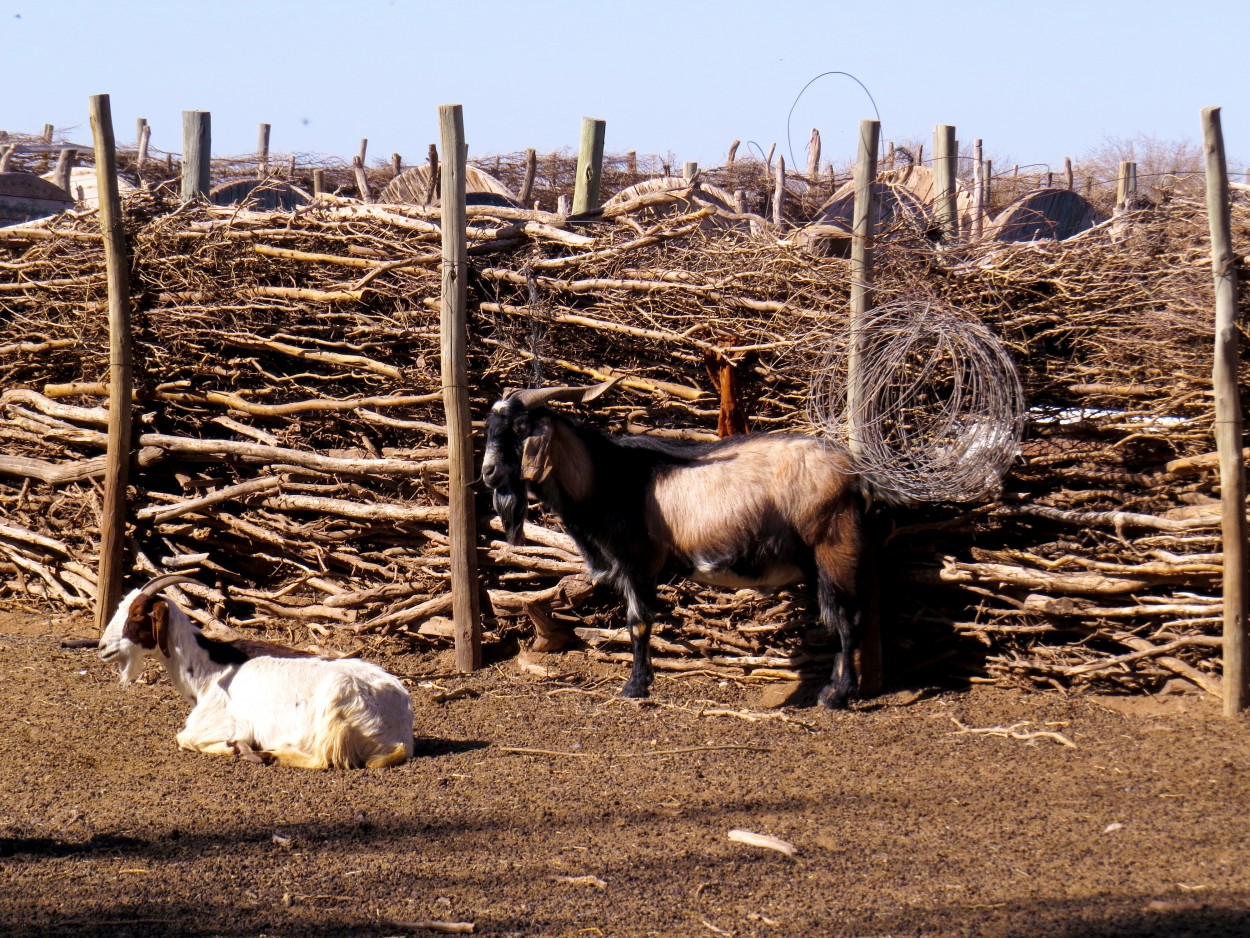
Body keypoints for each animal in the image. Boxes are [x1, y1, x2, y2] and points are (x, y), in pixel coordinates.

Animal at [98, 572, 410, 770]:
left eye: (138, 615)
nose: (102, 647)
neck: (210, 668)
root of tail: (402, 733)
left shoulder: (221, 722)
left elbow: (184, 738)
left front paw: (235, 747)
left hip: (336, 704)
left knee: (324, 760)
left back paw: (269, 755)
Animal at [480, 377, 870, 710]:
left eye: (520, 428)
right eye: (489, 428)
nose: (488, 472)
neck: (604, 478)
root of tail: (853, 472)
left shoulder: (638, 561)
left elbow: (637, 621)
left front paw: (635, 686)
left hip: (833, 547)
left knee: (848, 619)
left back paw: (837, 695)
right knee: (838, 617)